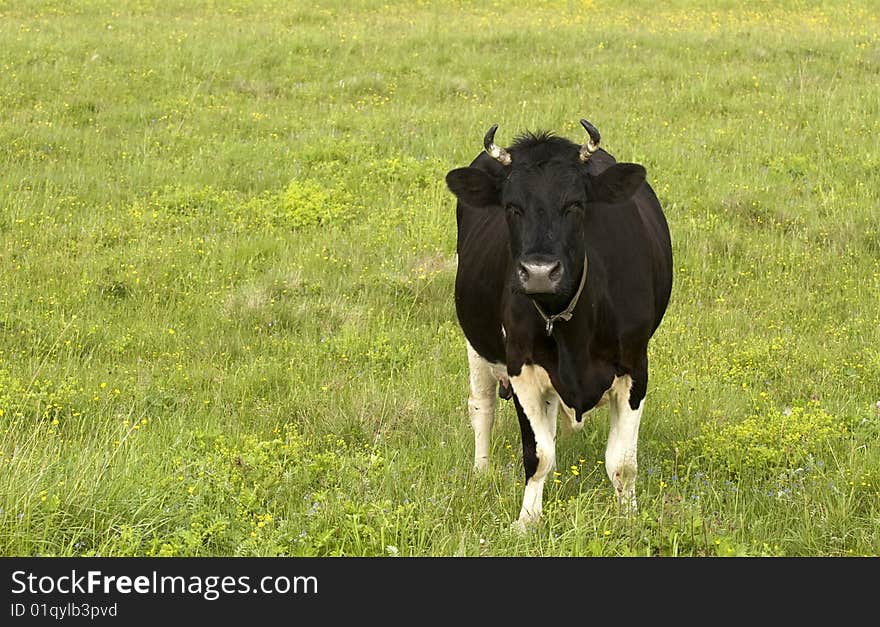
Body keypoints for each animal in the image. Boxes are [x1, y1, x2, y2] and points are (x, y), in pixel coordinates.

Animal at [446, 119, 672, 528]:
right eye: (511, 207)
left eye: (575, 205)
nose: (539, 271)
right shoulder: (520, 367)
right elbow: (538, 456)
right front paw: (526, 521)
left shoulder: (636, 366)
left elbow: (623, 462)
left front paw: (628, 517)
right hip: (476, 340)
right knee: (481, 406)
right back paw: (481, 472)